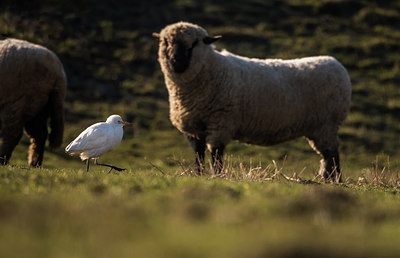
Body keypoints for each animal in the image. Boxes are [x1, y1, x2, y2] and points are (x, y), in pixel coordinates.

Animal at [0, 38, 66, 167]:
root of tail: (58, 72)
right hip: (40, 105)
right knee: (40, 134)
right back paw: (34, 163)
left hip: (20, 101)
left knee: (13, 134)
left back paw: (2, 159)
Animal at [155, 22, 352, 183]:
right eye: (166, 42)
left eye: (195, 43)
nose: (176, 61)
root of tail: (336, 64)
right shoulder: (194, 129)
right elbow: (198, 154)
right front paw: (198, 174)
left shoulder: (220, 122)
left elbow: (216, 154)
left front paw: (217, 176)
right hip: (319, 127)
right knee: (327, 155)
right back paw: (328, 178)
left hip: (327, 124)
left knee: (332, 154)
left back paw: (335, 180)